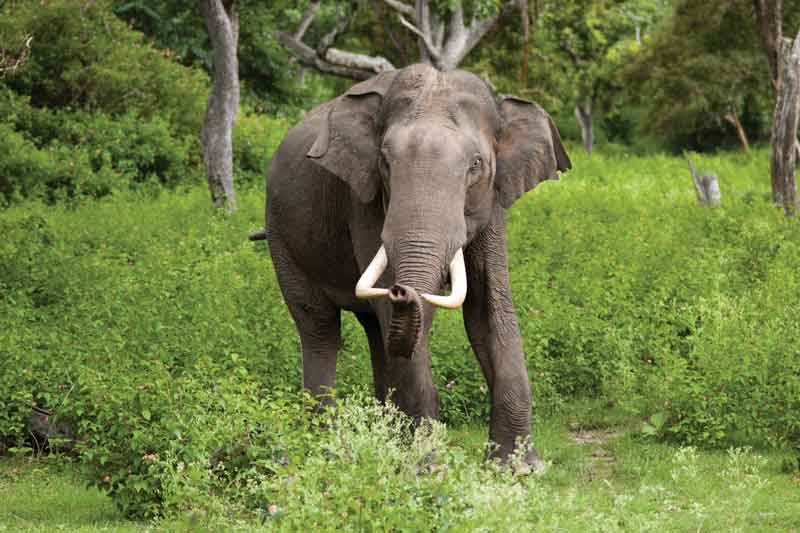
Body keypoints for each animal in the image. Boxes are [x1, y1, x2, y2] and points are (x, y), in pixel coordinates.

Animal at [260, 61, 568, 462]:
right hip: (281, 234)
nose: (401, 290)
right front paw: (424, 467)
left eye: (476, 165)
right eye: (385, 162)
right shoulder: (364, 200)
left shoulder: (493, 202)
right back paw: (325, 447)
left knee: (374, 331)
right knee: (319, 327)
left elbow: (488, 309)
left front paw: (517, 467)